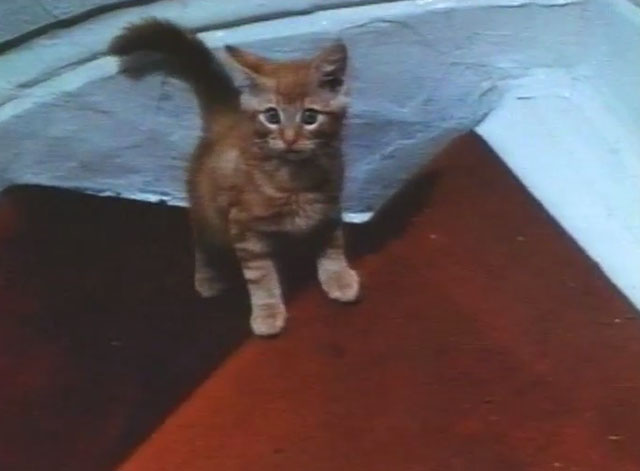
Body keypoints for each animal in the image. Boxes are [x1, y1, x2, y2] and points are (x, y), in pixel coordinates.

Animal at [110, 19, 360, 336]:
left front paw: (339, 277)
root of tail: (227, 117)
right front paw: (267, 312)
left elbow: (333, 245)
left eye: (309, 117)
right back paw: (208, 276)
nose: (290, 139)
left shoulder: (329, 206)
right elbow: (261, 276)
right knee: (202, 238)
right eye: (272, 116)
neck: (294, 180)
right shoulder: (243, 226)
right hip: (207, 207)